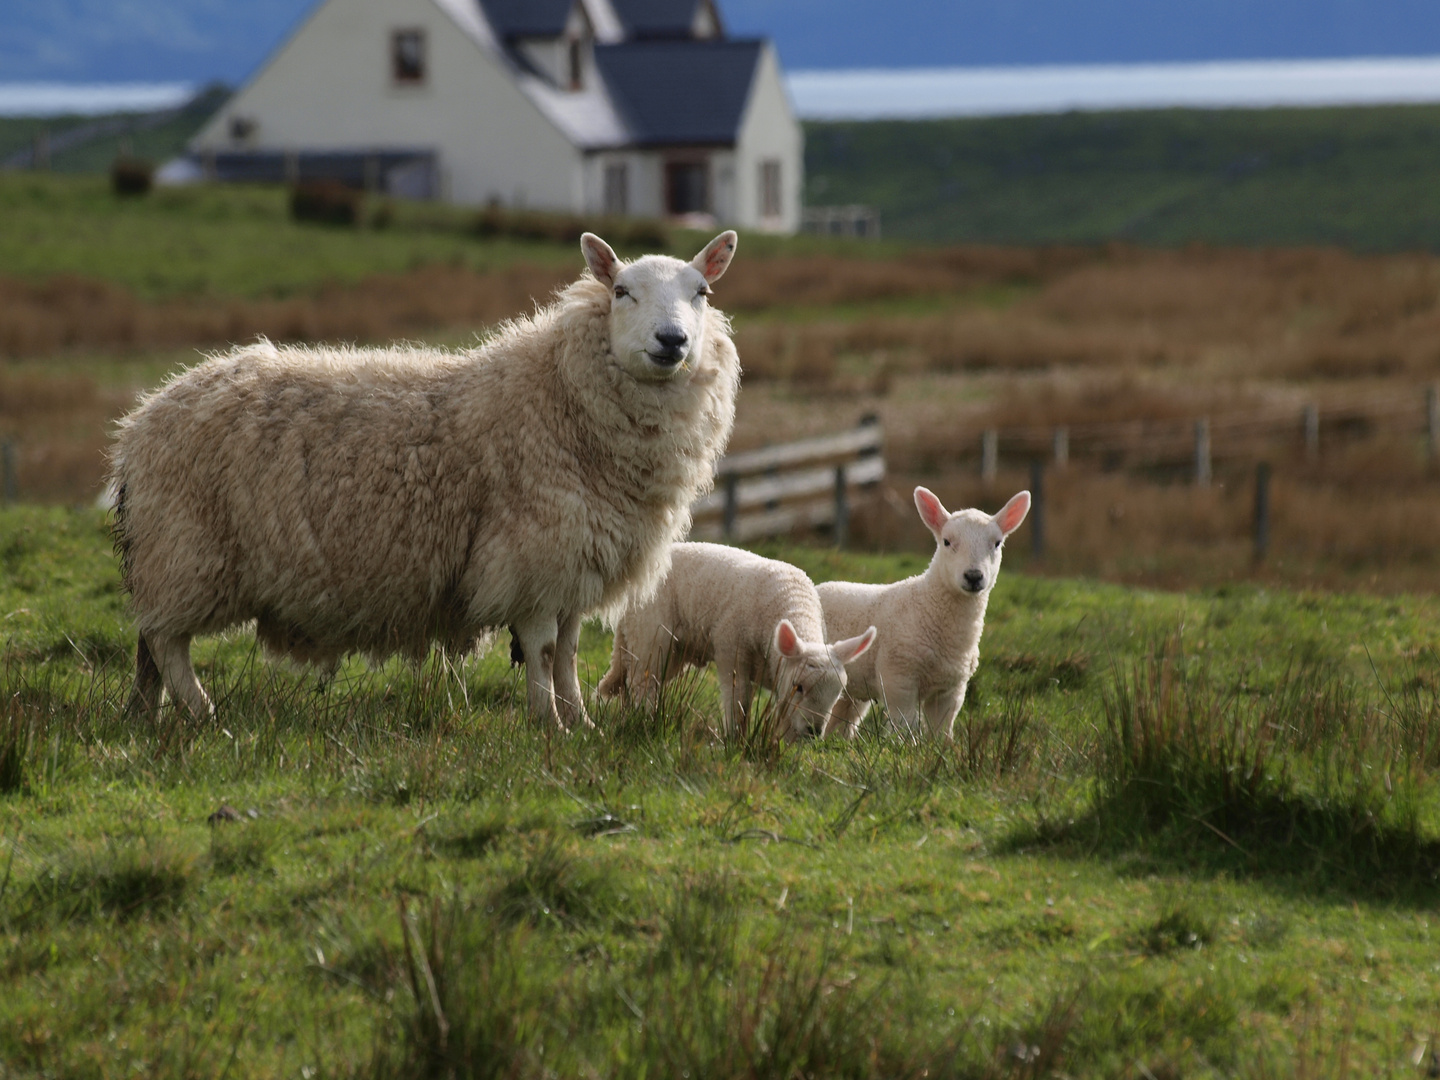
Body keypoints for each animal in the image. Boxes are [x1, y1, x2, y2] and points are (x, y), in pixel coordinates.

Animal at [109, 233, 743, 731]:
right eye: (621, 291)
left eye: (702, 293)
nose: (672, 341)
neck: (558, 397)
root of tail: (139, 423)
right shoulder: (529, 559)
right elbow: (541, 652)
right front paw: (549, 725)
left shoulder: (570, 562)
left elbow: (566, 654)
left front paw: (582, 723)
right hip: (187, 550)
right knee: (165, 640)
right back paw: (203, 713)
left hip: (172, 554)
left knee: (151, 644)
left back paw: (155, 713)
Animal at [596, 544, 875, 743]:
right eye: (800, 687)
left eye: (838, 692)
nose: (814, 731)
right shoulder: (731, 650)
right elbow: (738, 702)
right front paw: (735, 741)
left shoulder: (781, 676)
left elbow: (785, 717)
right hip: (651, 634)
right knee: (642, 682)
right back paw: (643, 720)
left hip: (668, 650)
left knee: (629, 681)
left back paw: (628, 718)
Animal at [823, 489, 1025, 743]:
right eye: (946, 542)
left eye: (997, 543)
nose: (973, 576)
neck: (928, 605)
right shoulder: (898, 677)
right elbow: (905, 723)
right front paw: (906, 746)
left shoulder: (951, 689)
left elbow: (942, 729)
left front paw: (942, 748)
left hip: (852, 686)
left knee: (841, 719)